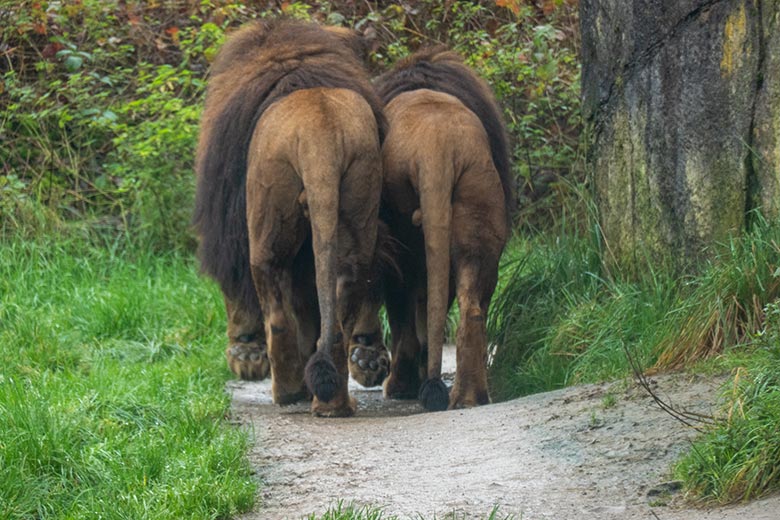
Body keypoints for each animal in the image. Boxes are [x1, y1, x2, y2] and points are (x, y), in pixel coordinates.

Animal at [193, 20, 386, 416]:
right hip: (358, 204)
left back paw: (287, 391)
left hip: (267, 220)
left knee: (276, 311)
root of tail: (319, 135)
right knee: (342, 305)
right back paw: (333, 402)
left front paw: (244, 351)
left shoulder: (225, 218)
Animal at [350, 45, 516, 410]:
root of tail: (436, 143)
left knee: (404, 313)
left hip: (403, 238)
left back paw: (403, 384)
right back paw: (468, 397)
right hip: (476, 212)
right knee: (470, 308)